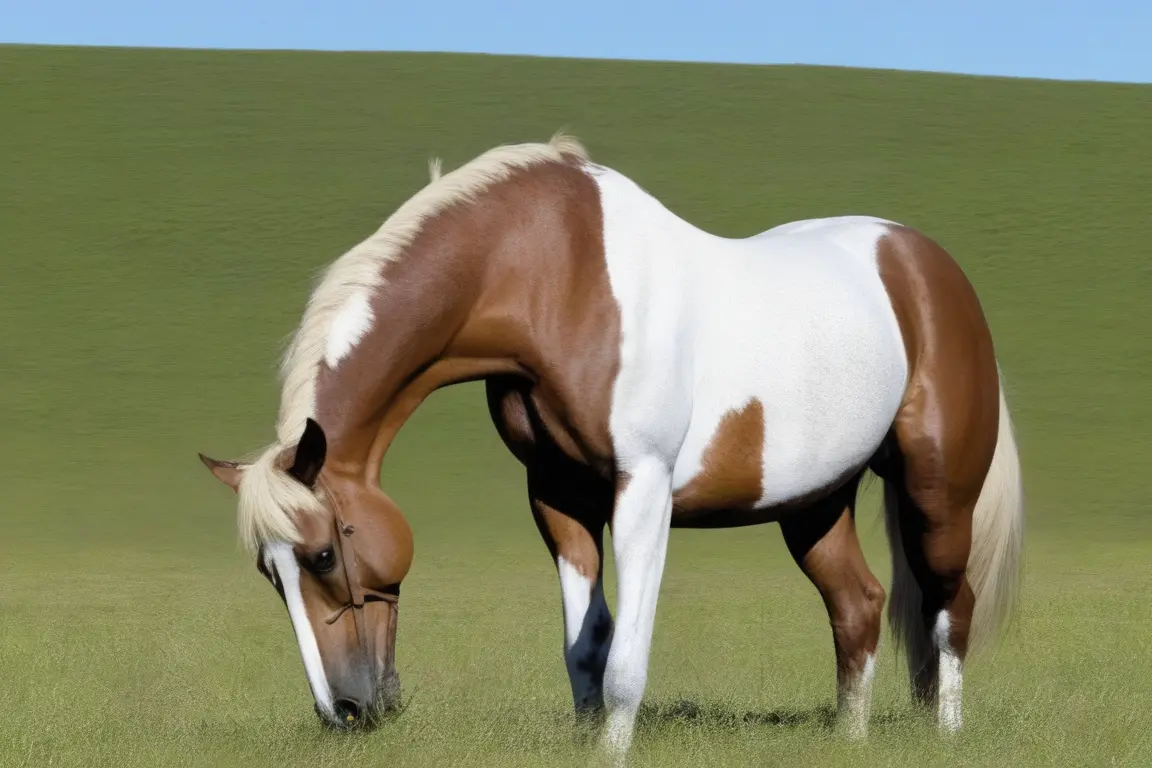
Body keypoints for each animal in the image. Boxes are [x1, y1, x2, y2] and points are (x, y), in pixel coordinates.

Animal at [199, 134, 1024, 757]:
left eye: (322, 554)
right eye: (267, 573)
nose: (343, 711)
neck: (552, 279)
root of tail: (924, 264)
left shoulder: (644, 490)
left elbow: (627, 654)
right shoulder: (558, 496)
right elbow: (586, 644)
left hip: (936, 493)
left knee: (949, 605)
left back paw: (948, 733)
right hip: (813, 503)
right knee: (859, 606)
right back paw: (851, 739)